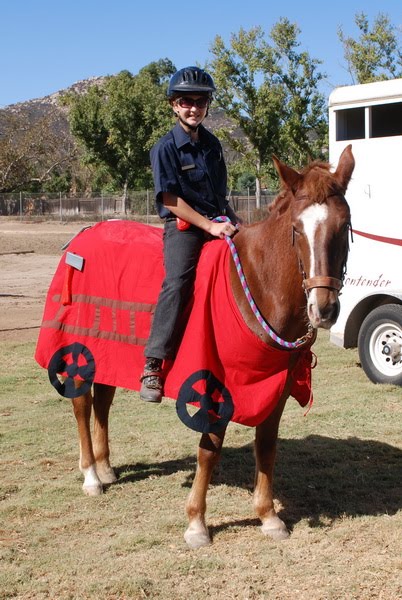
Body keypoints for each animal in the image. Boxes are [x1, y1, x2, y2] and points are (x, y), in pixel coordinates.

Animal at [35, 144, 354, 548]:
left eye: (344, 226)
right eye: (296, 230)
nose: (324, 308)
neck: (255, 284)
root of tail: (85, 236)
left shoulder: (275, 387)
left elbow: (266, 445)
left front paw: (268, 516)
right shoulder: (216, 385)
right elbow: (209, 450)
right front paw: (197, 523)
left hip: (109, 355)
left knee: (103, 403)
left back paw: (105, 467)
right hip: (81, 351)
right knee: (81, 405)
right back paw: (91, 475)